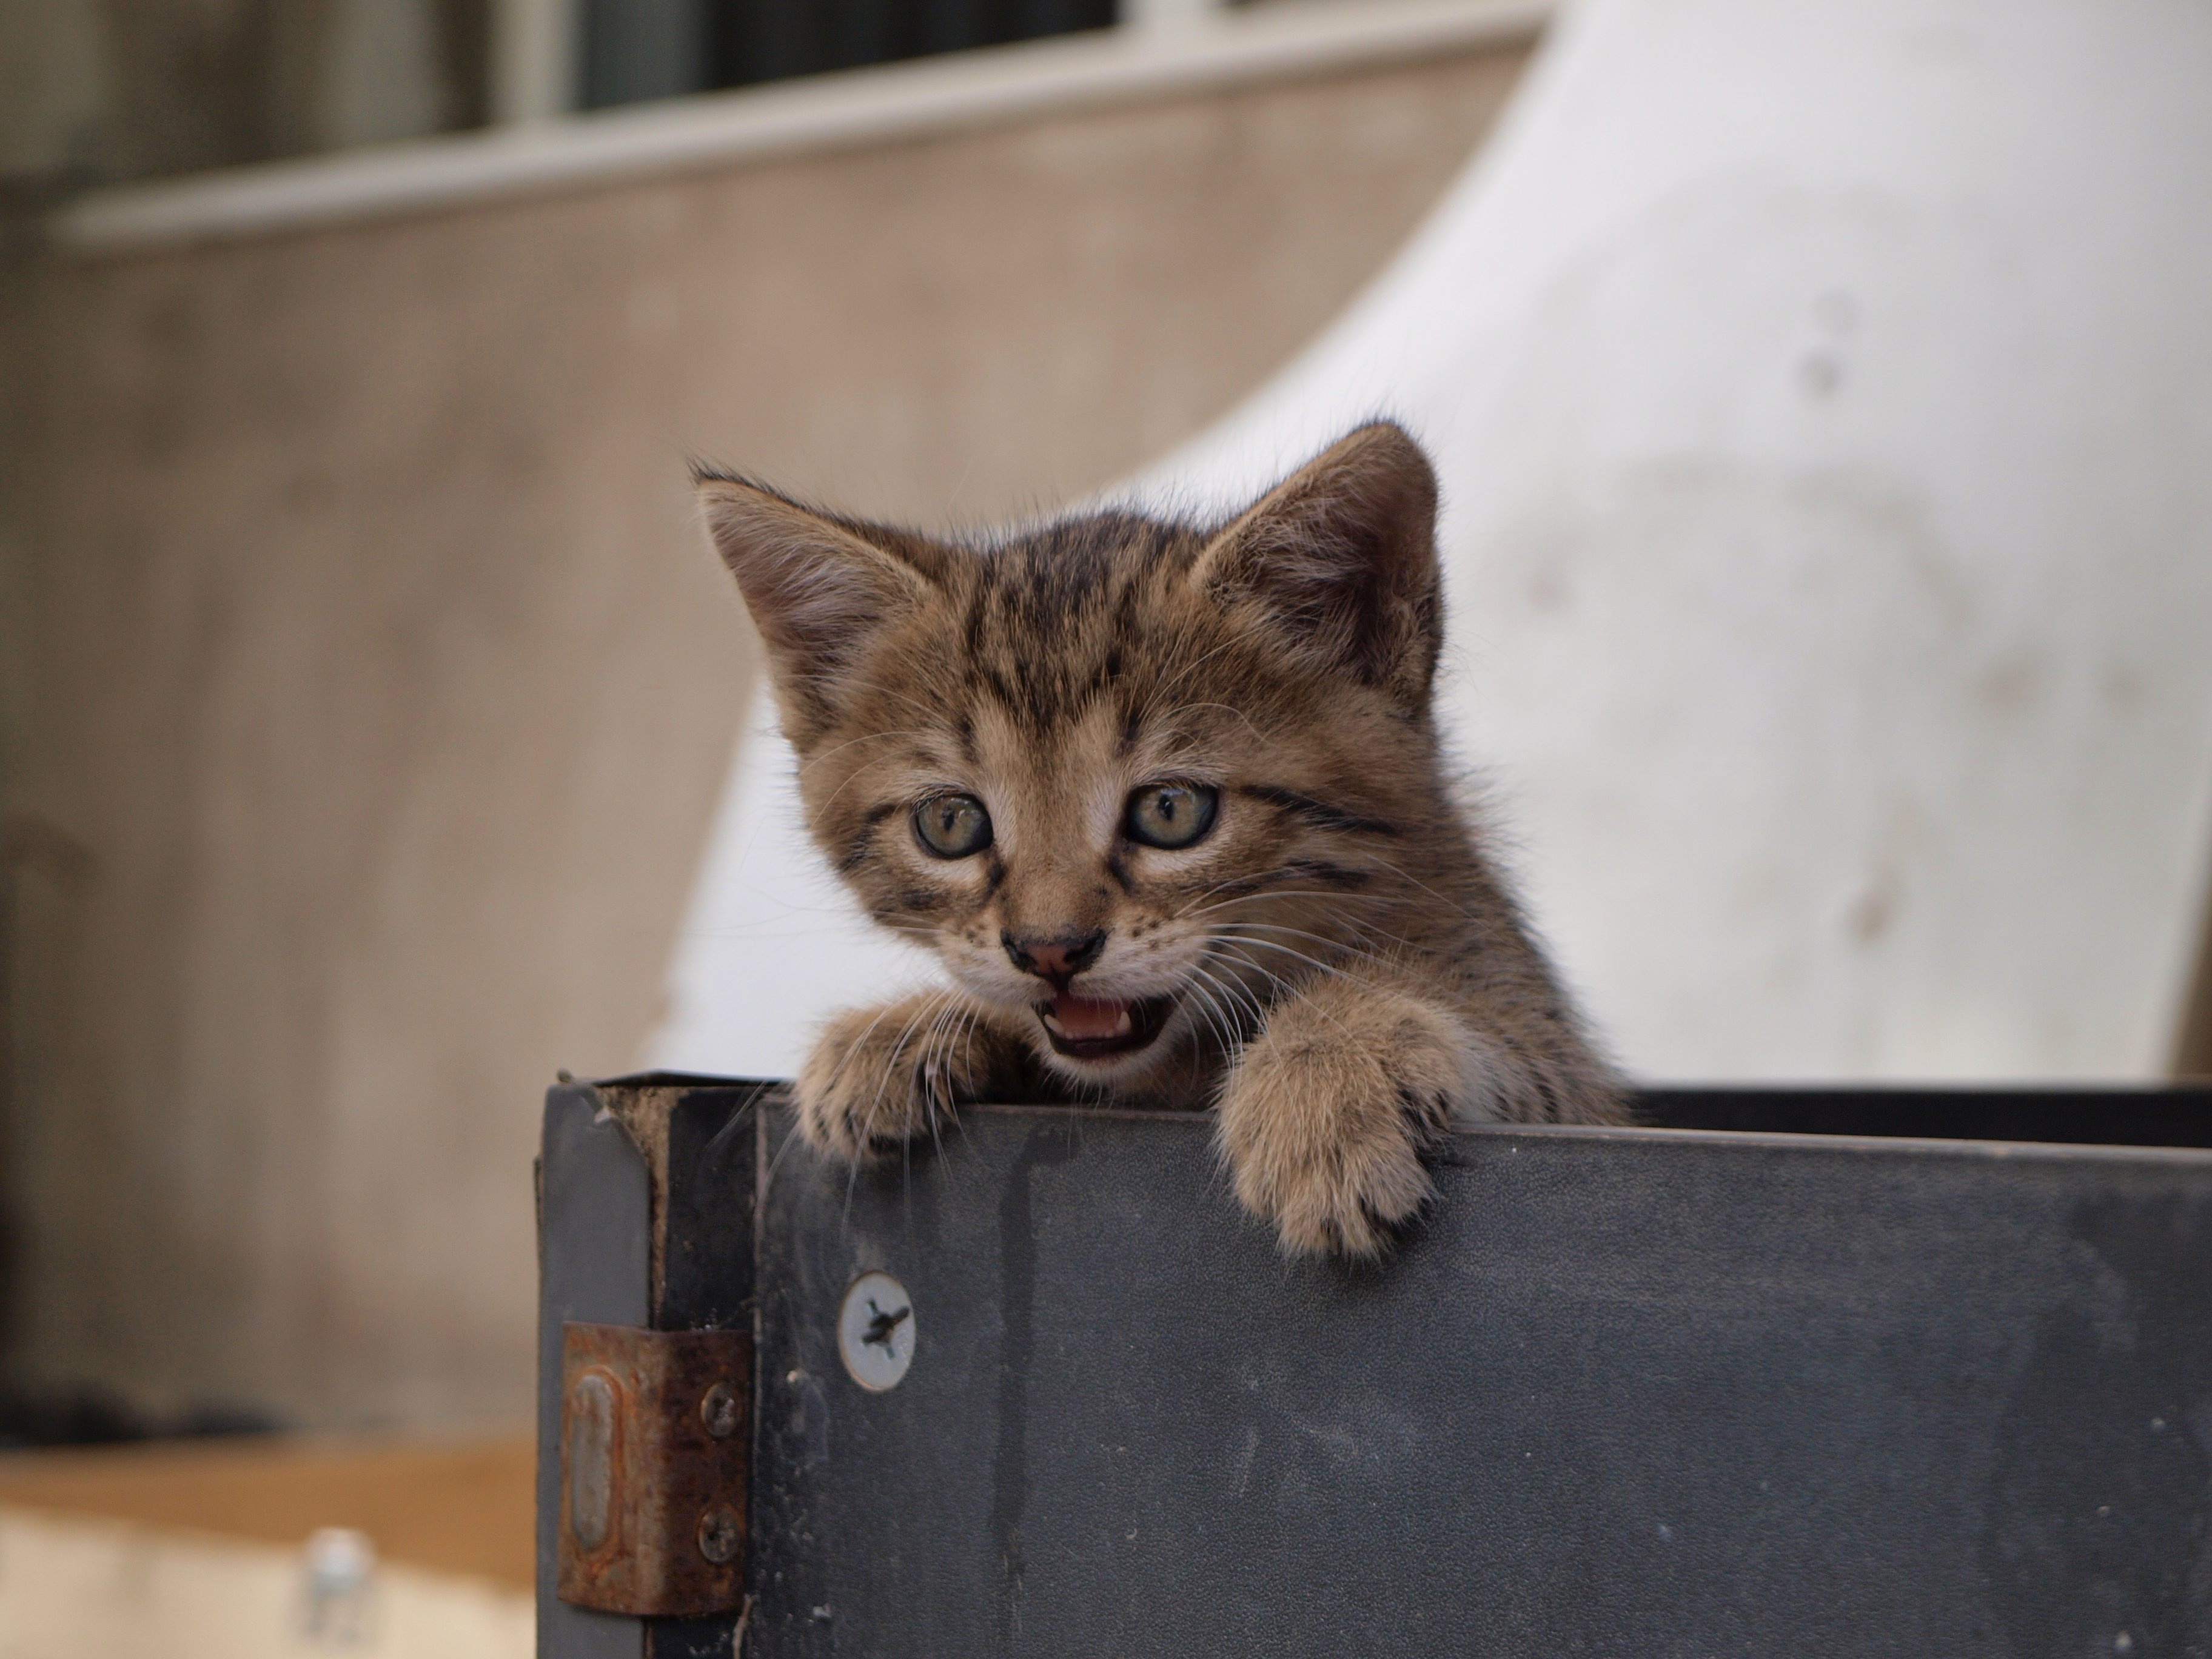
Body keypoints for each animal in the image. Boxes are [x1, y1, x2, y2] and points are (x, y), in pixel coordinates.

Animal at [694, 424, 1627, 1256]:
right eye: (951, 823)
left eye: (1172, 811)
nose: (1050, 950)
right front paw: (902, 1030)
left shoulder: (1565, 1071)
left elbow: (1489, 1032)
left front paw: (1324, 1076)